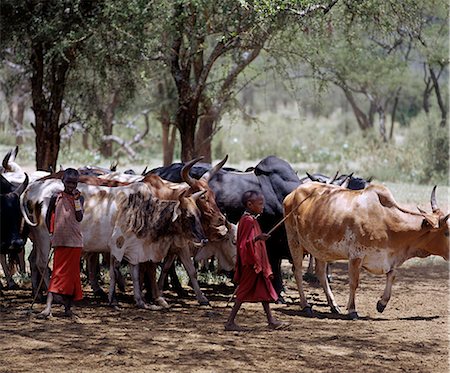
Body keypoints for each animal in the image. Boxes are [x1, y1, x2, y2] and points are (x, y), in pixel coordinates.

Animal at [284, 182, 450, 318]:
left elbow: (392, 276)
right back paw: (306, 306)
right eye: (447, 232)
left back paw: (334, 306)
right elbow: (354, 283)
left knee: (321, 274)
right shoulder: (355, 256)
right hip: (294, 241)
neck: (387, 222)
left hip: (320, 249)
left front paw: (381, 304)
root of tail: (292, 193)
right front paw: (352, 310)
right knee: (297, 271)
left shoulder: (387, 260)